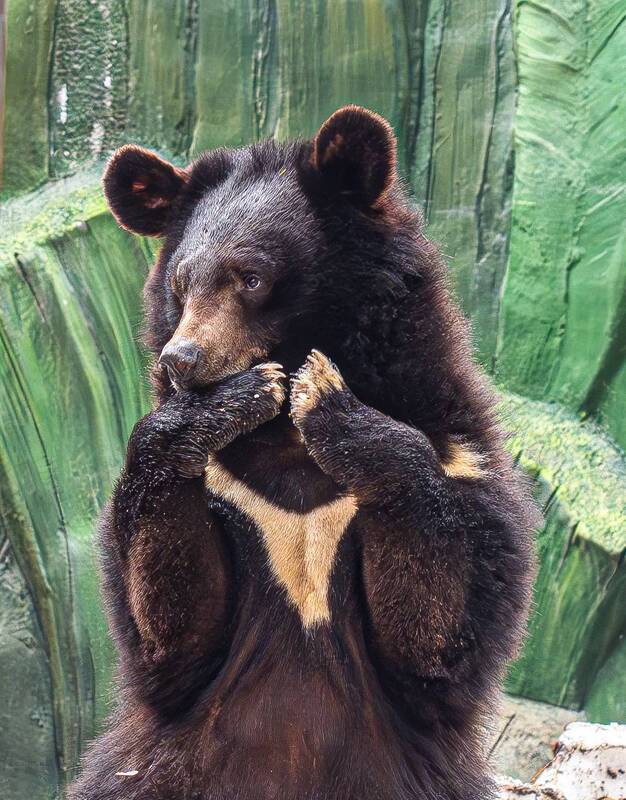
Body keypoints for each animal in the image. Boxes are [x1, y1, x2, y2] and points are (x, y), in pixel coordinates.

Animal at [68, 106, 536, 800]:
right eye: (181, 283)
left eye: (251, 277)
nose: (182, 359)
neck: (285, 445)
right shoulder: (218, 490)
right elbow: (170, 622)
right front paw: (222, 405)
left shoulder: (463, 455)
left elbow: (438, 629)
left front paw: (327, 400)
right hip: (144, 773)